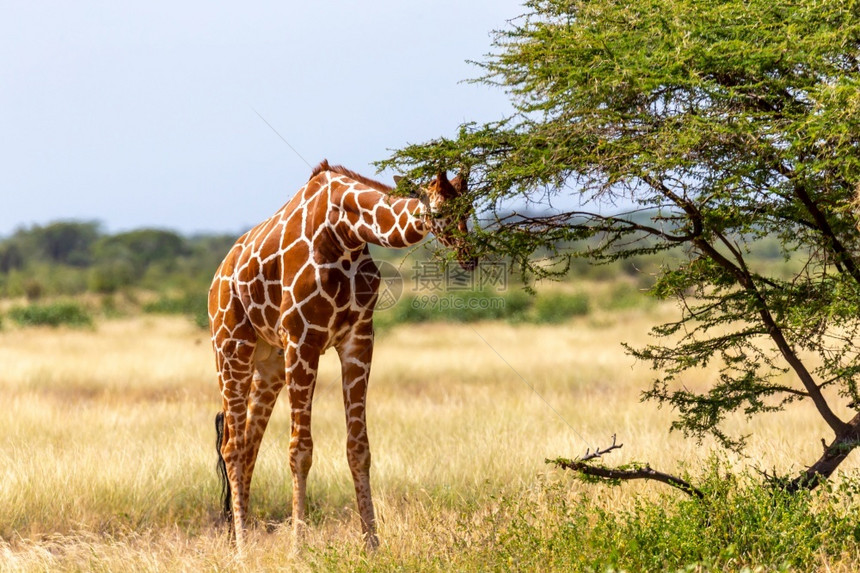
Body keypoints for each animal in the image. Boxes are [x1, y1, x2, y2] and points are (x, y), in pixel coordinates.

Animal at [210, 160, 478, 548]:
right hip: (231, 347)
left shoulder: (358, 336)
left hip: (270, 362)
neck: (345, 234)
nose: (469, 257)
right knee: (231, 447)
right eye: (440, 211)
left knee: (247, 446)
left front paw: (372, 545)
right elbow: (300, 450)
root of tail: (218, 275)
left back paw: (243, 540)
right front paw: (298, 548)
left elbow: (359, 447)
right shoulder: (302, 338)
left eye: (469, 209)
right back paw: (243, 551)